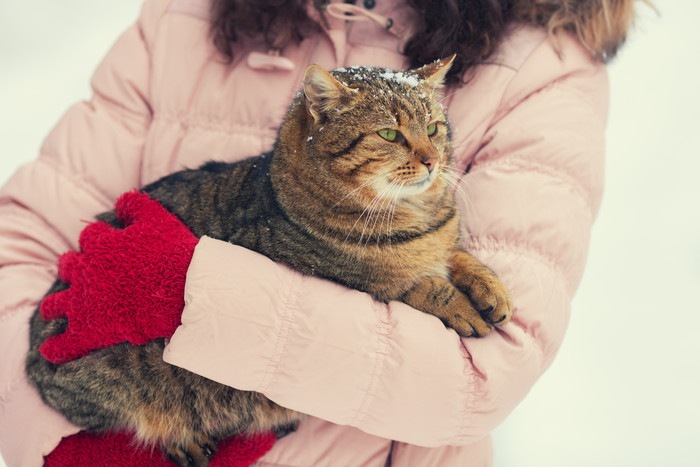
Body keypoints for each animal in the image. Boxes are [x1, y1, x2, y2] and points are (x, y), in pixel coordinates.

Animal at [26, 56, 508, 466]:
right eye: (390, 134)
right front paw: (457, 302)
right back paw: (183, 438)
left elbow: (458, 256)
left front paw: (489, 286)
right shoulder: (332, 278)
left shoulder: (443, 237)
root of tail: (32, 359)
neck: (415, 218)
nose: (433, 160)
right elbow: (413, 283)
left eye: (435, 127)